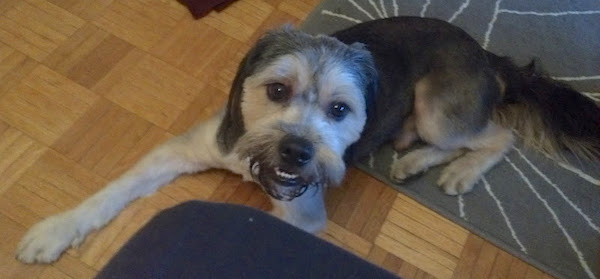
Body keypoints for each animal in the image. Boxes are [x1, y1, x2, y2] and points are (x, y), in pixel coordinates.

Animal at [16, 16, 596, 264]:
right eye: (277, 90)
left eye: (340, 110)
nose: (297, 151)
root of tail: (485, 52)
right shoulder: (184, 150)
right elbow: (111, 191)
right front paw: (55, 229)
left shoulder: (301, 213)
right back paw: (414, 161)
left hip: (439, 107)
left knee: (499, 134)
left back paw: (458, 170)